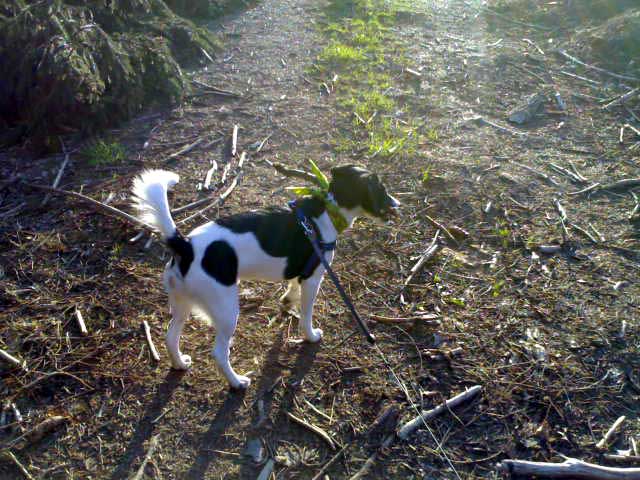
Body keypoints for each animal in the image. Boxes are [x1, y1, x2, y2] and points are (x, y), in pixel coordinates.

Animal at [132, 165, 398, 390]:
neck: (326, 212)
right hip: (226, 310)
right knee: (218, 353)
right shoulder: (314, 279)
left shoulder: (299, 273)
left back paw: (180, 363)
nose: (397, 204)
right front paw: (310, 335)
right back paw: (237, 382)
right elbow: (306, 314)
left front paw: (287, 301)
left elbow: (291, 288)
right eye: (382, 189)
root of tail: (185, 245)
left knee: (170, 337)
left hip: (183, 303)